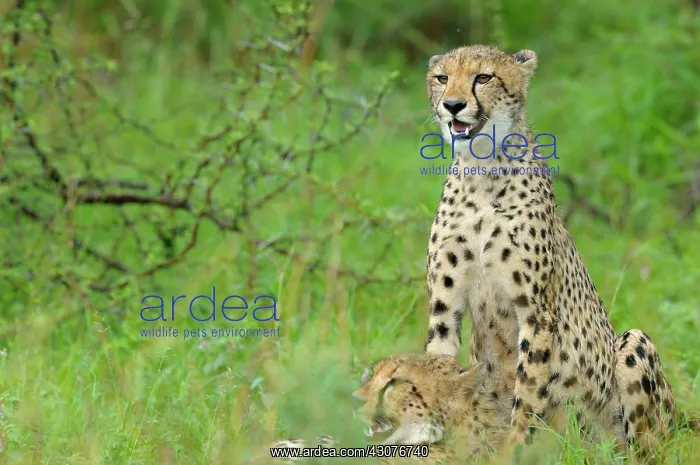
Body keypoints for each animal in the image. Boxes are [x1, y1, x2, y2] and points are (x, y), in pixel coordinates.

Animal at [421, 44, 687, 456]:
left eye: (483, 77)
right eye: (442, 78)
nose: (452, 104)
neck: (481, 173)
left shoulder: (537, 311)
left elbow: (528, 389)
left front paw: (515, 450)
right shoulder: (444, 305)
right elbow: (437, 367)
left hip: (634, 352)